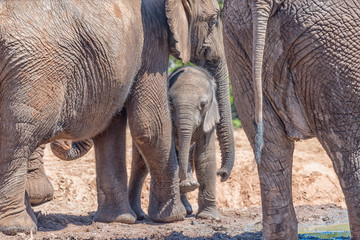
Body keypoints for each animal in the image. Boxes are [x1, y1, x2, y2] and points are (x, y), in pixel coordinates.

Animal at [129, 66, 225, 221]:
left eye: (203, 104)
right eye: (170, 102)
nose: (221, 174)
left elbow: (205, 156)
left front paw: (209, 217)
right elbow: (173, 150)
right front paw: (187, 185)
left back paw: (187, 206)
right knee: (140, 165)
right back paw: (140, 215)